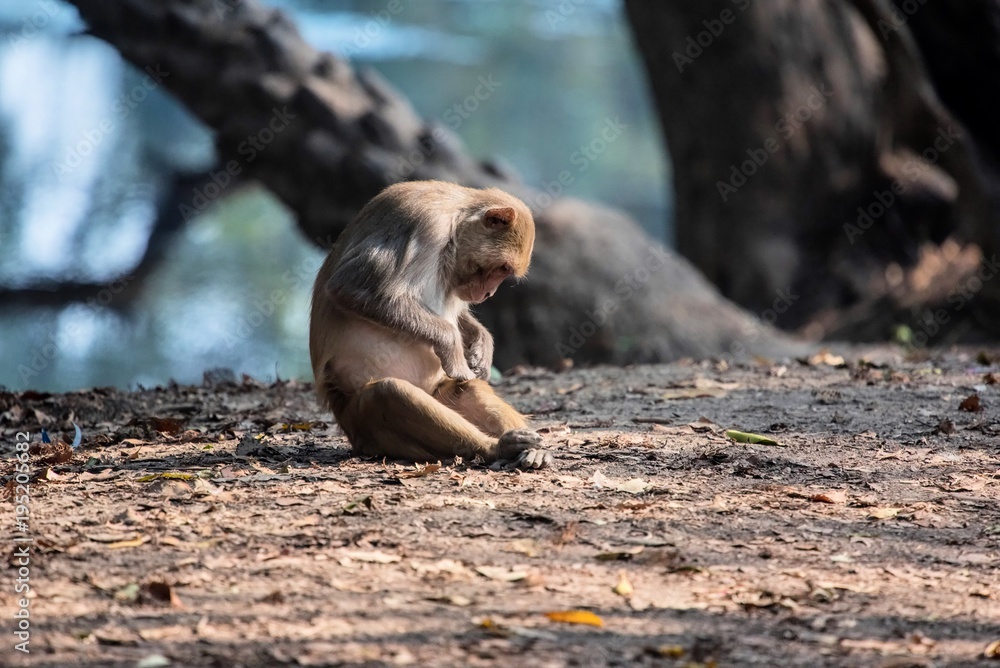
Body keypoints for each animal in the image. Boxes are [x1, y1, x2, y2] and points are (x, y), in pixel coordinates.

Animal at [309, 180, 552, 469]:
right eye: (503, 268)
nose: (489, 293)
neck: (453, 221)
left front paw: (482, 345)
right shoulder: (427, 225)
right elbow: (348, 287)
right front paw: (452, 345)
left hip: (436, 392)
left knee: (464, 389)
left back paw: (528, 449)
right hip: (361, 424)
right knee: (389, 392)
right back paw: (495, 448)